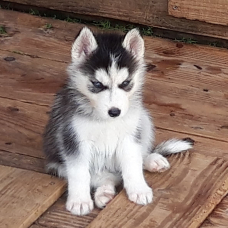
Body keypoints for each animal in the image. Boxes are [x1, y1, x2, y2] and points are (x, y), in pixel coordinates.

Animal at [43, 26, 194, 216]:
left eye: (126, 83)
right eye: (97, 84)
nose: (115, 112)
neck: (105, 120)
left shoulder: (129, 137)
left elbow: (132, 164)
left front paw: (138, 188)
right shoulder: (74, 139)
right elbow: (79, 172)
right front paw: (79, 201)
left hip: (143, 119)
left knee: (137, 157)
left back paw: (152, 160)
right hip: (59, 166)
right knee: (105, 177)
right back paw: (104, 193)